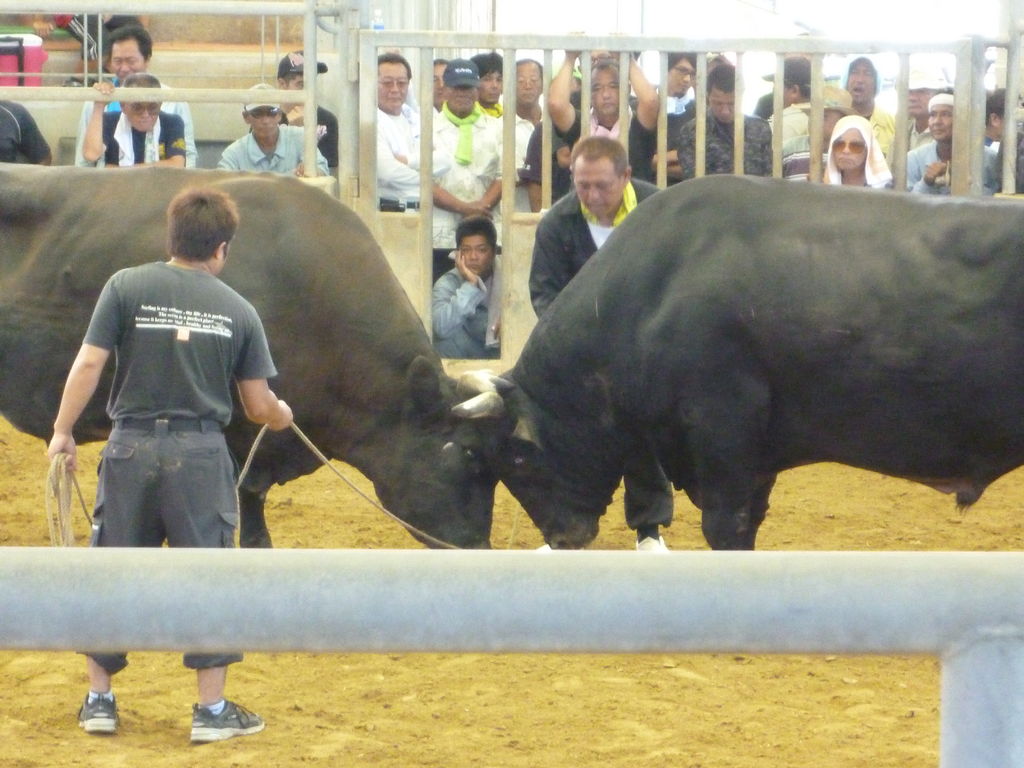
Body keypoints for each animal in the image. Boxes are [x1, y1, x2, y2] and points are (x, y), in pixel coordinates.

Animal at [454, 174, 1024, 550]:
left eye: (518, 459)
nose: (561, 536)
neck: (652, 290)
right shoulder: (756, 452)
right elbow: (750, 520)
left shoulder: (723, 424)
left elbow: (725, 524)